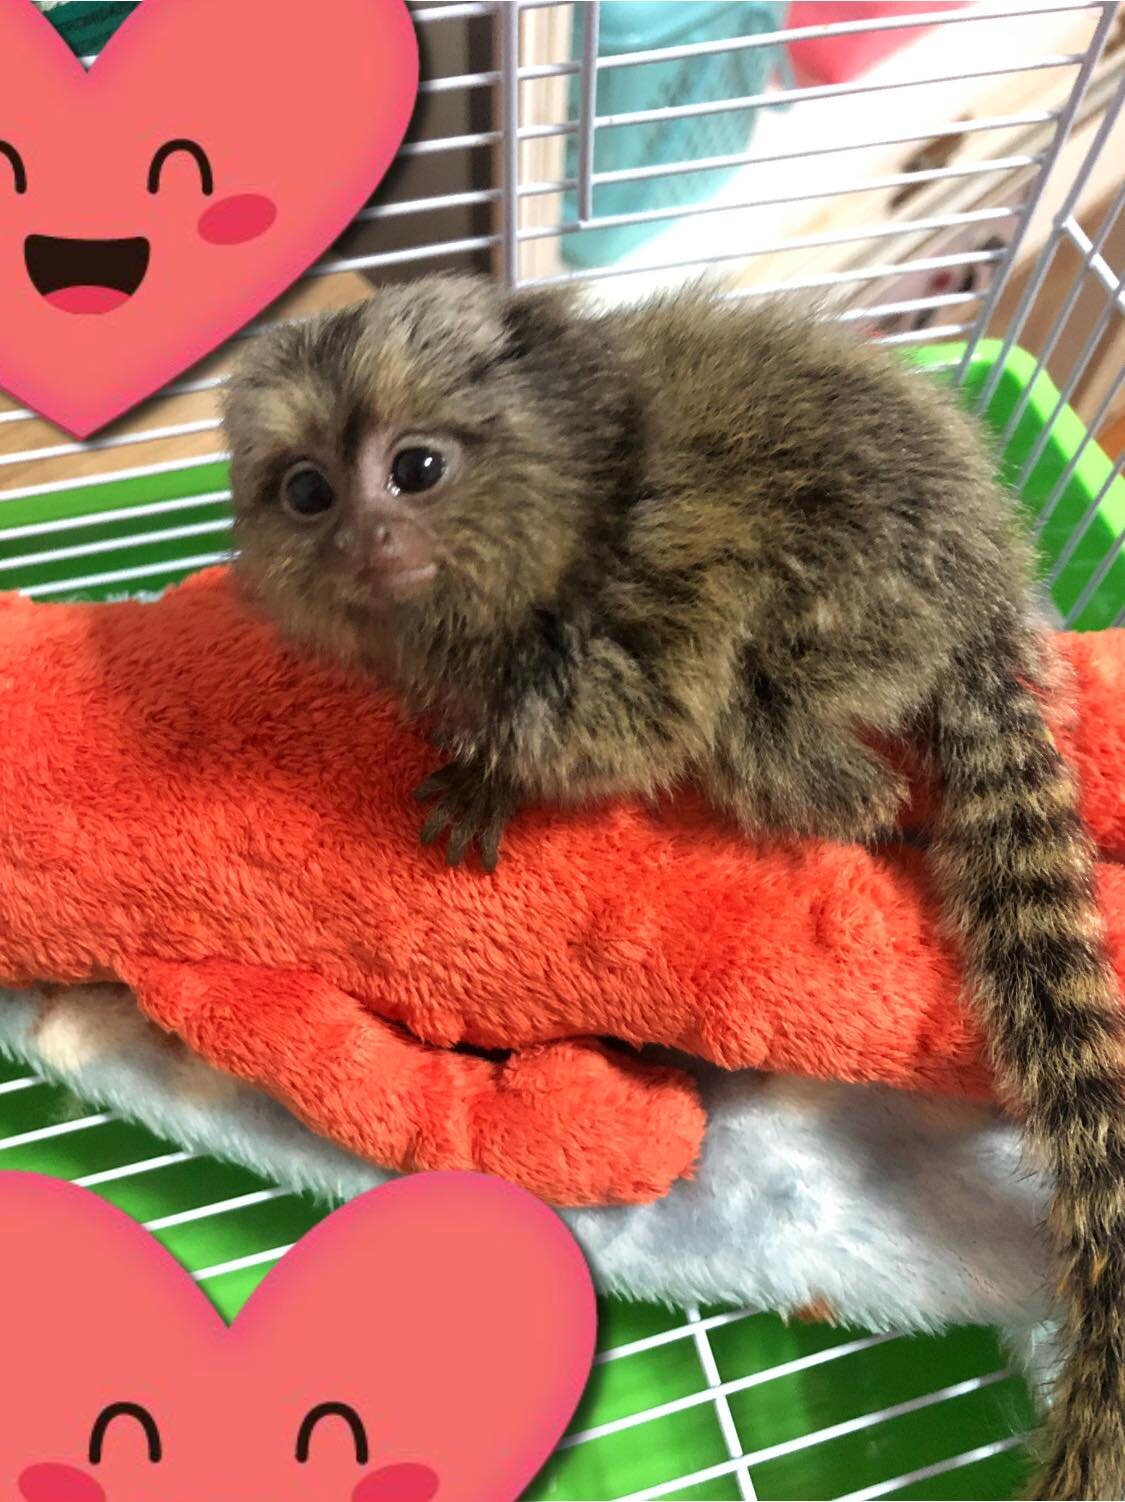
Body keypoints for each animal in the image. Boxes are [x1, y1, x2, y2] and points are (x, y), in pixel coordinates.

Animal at [223, 273, 1125, 1499]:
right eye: (307, 492)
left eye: (417, 468)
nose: (367, 538)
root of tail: (988, 599)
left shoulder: (640, 606)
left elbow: (635, 725)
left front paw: (494, 784)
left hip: (861, 617)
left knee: (777, 730)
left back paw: (871, 815)